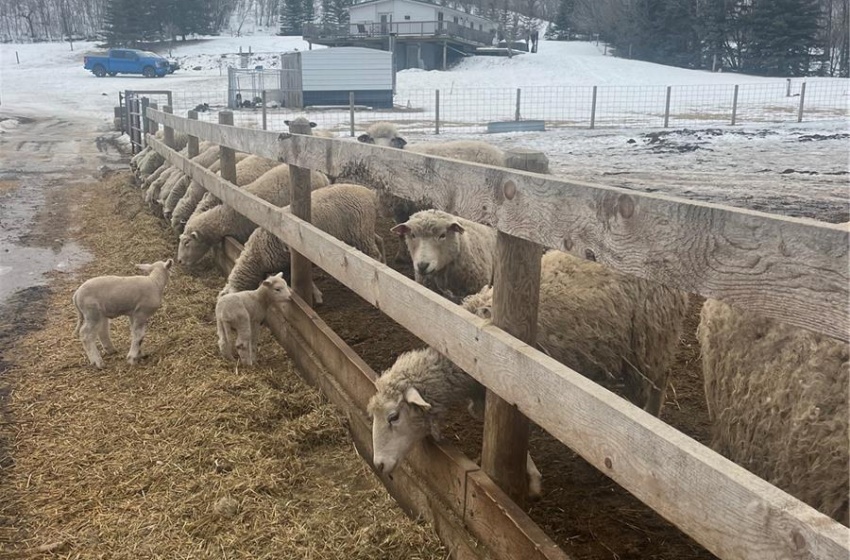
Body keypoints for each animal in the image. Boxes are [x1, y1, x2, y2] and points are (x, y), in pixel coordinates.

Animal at [222, 185, 388, 304]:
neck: (257, 255)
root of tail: (369, 193)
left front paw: (316, 297)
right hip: (363, 231)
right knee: (380, 240)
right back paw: (384, 264)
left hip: (361, 233)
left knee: (374, 255)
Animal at [370, 249, 688, 498]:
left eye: (393, 417)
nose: (379, 465)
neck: (468, 342)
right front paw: (531, 476)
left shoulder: (518, 386)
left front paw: (532, 483)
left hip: (650, 342)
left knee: (658, 383)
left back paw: (651, 417)